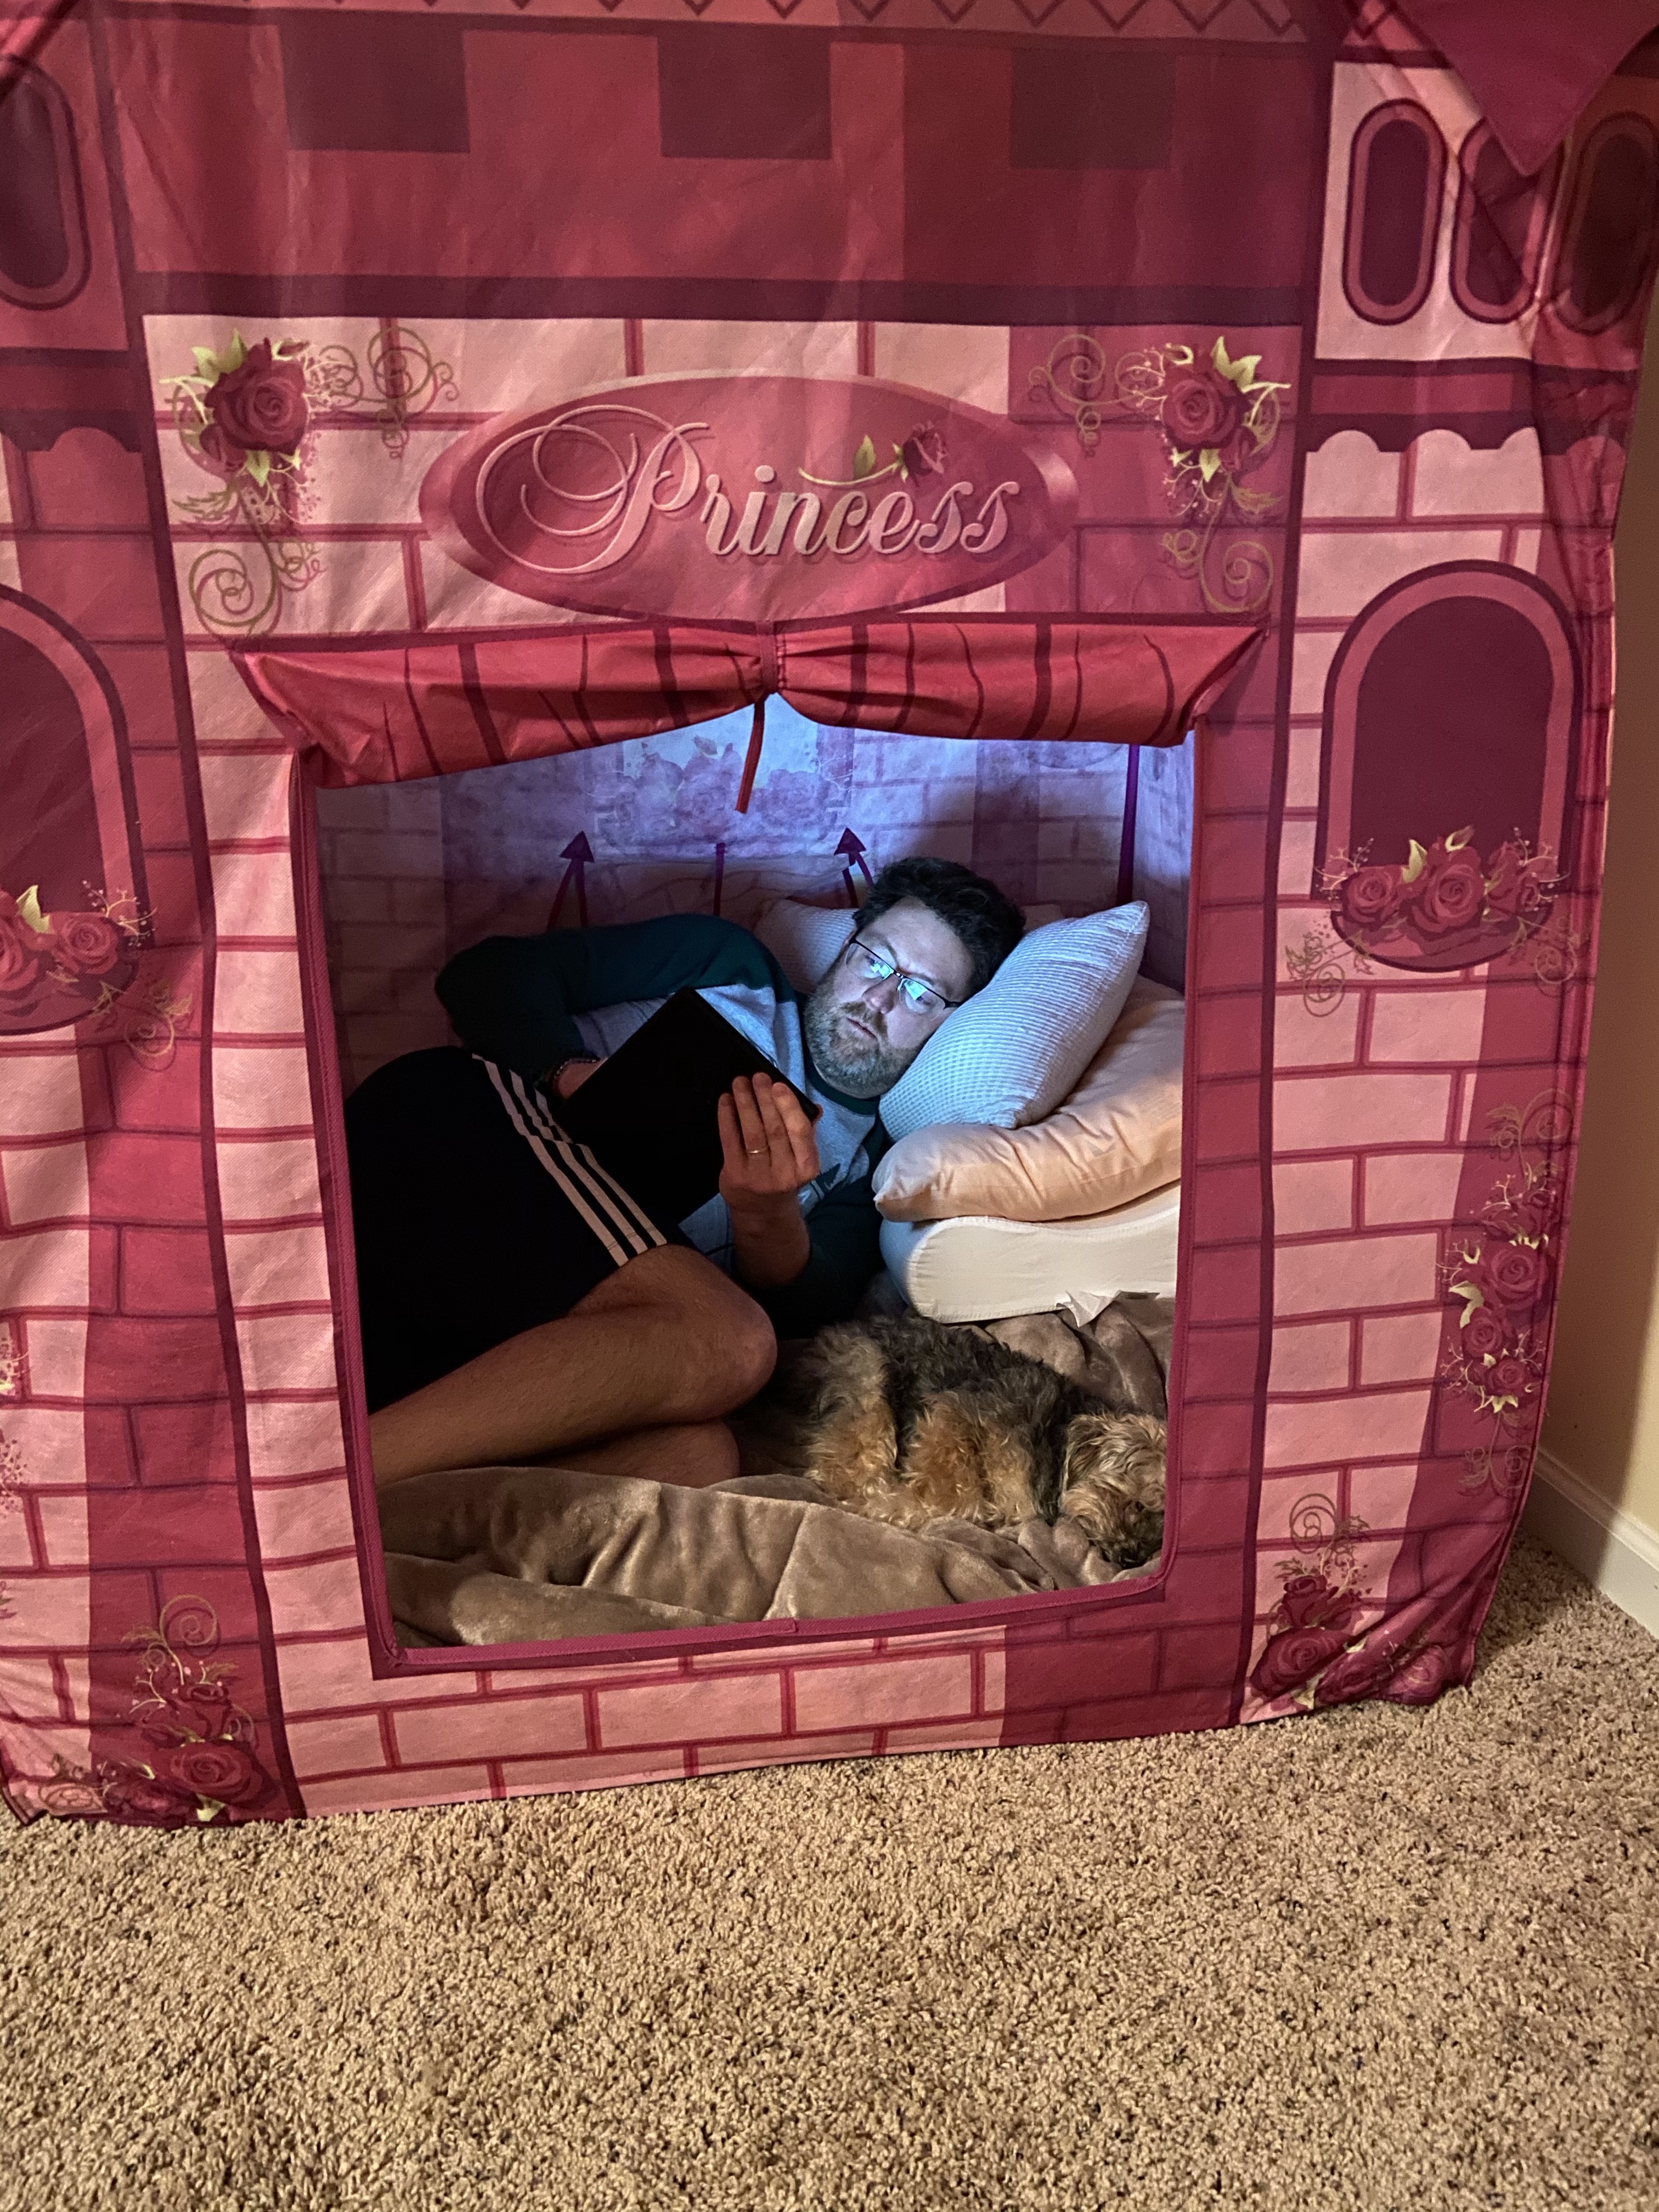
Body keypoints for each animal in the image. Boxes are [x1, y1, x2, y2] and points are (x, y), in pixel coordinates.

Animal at [787, 1314, 1167, 1568]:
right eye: (1137, 1504)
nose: (1132, 1559)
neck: (1056, 1441)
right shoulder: (955, 1413)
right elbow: (955, 1492)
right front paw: (891, 1504)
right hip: (868, 1381)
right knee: (843, 1465)